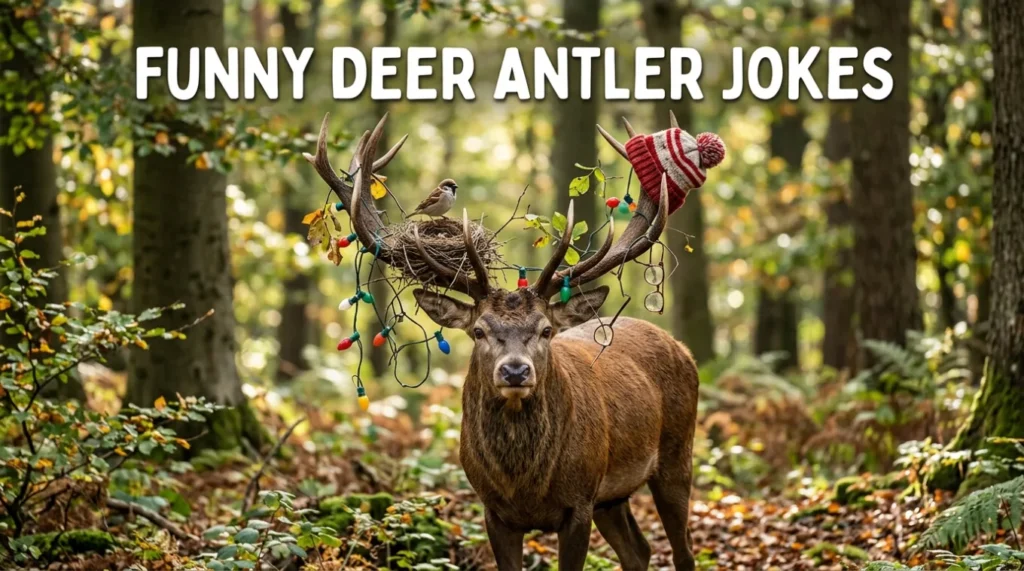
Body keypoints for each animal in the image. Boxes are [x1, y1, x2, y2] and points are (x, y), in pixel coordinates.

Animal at [304, 112, 699, 571]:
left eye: (546, 330)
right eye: (478, 330)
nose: (514, 371)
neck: (524, 485)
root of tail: (682, 348)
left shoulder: (579, 503)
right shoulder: (494, 511)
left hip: (676, 454)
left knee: (683, 549)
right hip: (612, 497)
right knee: (639, 550)